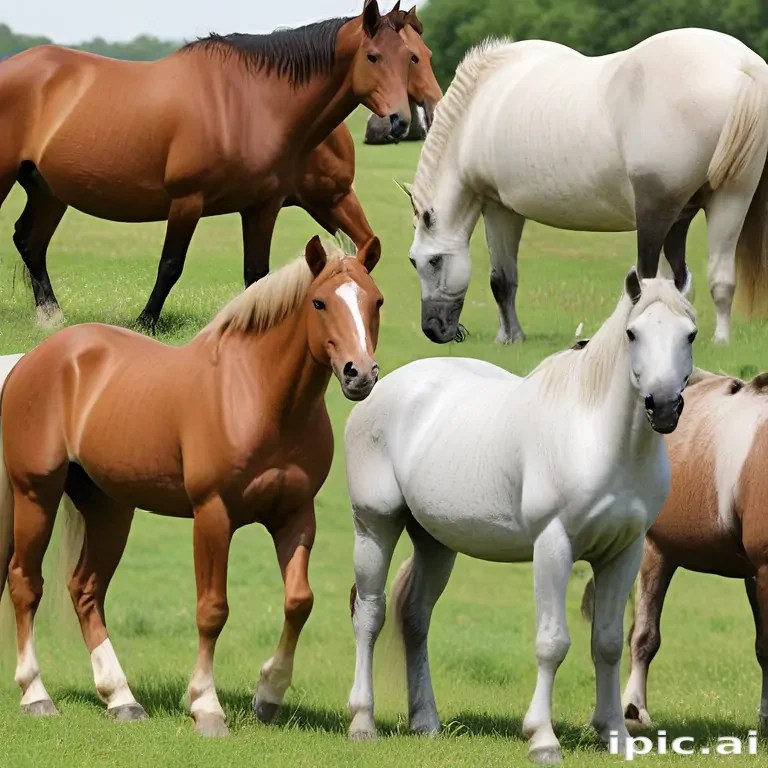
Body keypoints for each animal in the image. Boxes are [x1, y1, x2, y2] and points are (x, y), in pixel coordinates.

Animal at [0, 0, 408, 331]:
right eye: (373, 56)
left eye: (408, 58)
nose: (399, 122)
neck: (251, 102)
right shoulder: (187, 200)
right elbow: (170, 265)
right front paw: (145, 322)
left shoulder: (263, 206)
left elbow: (256, 273)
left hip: (48, 191)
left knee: (30, 241)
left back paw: (51, 317)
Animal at [0, 234, 384, 737]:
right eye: (319, 302)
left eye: (376, 301)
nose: (361, 373)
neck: (258, 395)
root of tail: (32, 360)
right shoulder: (213, 515)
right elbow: (212, 609)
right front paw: (206, 706)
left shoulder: (296, 514)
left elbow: (299, 601)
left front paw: (269, 695)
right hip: (36, 495)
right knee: (26, 582)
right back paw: (36, 694)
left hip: (109, 507)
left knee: (85, 590)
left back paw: (121, 699)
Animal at [344, 271, 697, 762]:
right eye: (632, 333)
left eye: (690, 334)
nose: (662, 406)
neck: (596, 437)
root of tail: (380, 389)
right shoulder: (554, 545)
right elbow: (552, 643)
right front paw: (543, 738)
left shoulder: (624, 553)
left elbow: (607, 643)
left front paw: (615, 735)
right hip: (374, 526)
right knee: (370, 616)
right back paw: (362, 722)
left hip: (435, 542)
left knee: (416, 618)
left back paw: (426, 722)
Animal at [396, 31, 768, 346]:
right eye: (412, 261)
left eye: (430, 261)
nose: (433, 330)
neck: (479, 107)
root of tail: (744, 65)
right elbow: (507, 278)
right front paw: (511, 335)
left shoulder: (499, 207)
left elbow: (500, 280)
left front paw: (509, 338)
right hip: (728, 200)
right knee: (715, 276)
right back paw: (719, 340)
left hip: (657, 210)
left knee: (648, 276)